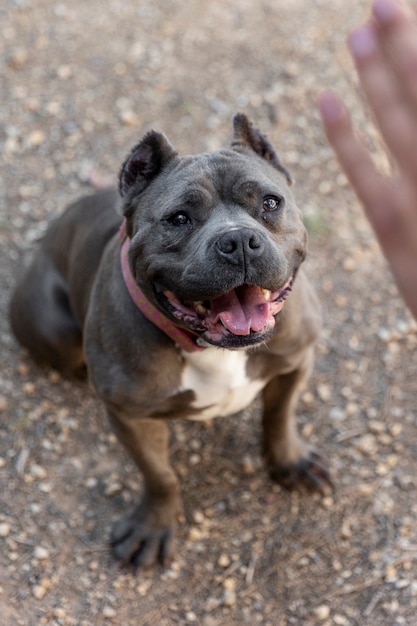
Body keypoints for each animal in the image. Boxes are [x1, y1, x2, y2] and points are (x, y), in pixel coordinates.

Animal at [8, 112, 332, 564]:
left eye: (270, 203)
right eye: (178, 219)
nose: (238, 240)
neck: (210, 347)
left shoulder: (295, 361)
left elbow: (279, 417)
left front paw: (291, 462)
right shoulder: (132, 417)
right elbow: (160, 475)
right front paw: (153, 526)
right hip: (55, 332)